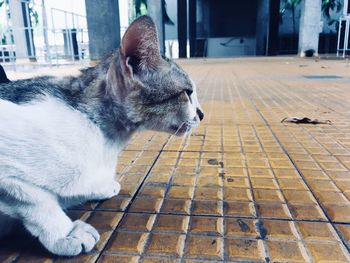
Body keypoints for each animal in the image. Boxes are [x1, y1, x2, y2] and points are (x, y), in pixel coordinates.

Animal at [0, 15, 204, 256]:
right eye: (187, 93)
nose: (202, 114)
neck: (108, 142)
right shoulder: (7, 172)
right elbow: (37, 201)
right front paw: (65, 233)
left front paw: (101, 186)